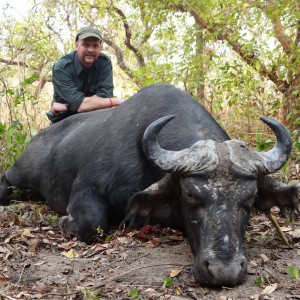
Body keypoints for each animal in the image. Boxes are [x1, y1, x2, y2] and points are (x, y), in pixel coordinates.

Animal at [0, 84, 298, 286]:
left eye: (249, 198)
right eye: (191, 195)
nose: (225, 271)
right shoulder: (87, 191)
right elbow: (92, 225)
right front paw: (64, 222)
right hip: (22, 172)